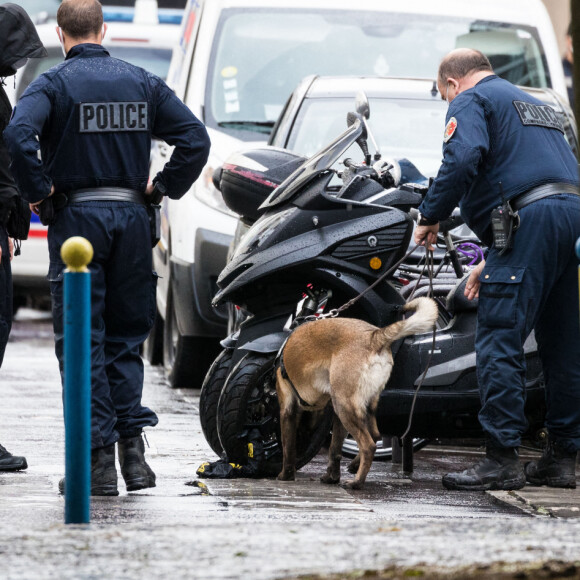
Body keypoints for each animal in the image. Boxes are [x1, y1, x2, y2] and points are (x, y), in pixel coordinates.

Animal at [274, 300, 438, 490]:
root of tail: (374, 337)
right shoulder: (335, 415)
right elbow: (335, 449)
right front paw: (332, 477)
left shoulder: (288, 409)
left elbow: (288, 447)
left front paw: (285, 475)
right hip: (361, 405)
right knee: (374, 436)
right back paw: (354, 466)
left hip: (344, 406)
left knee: (368, 445)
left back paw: (357, 482)